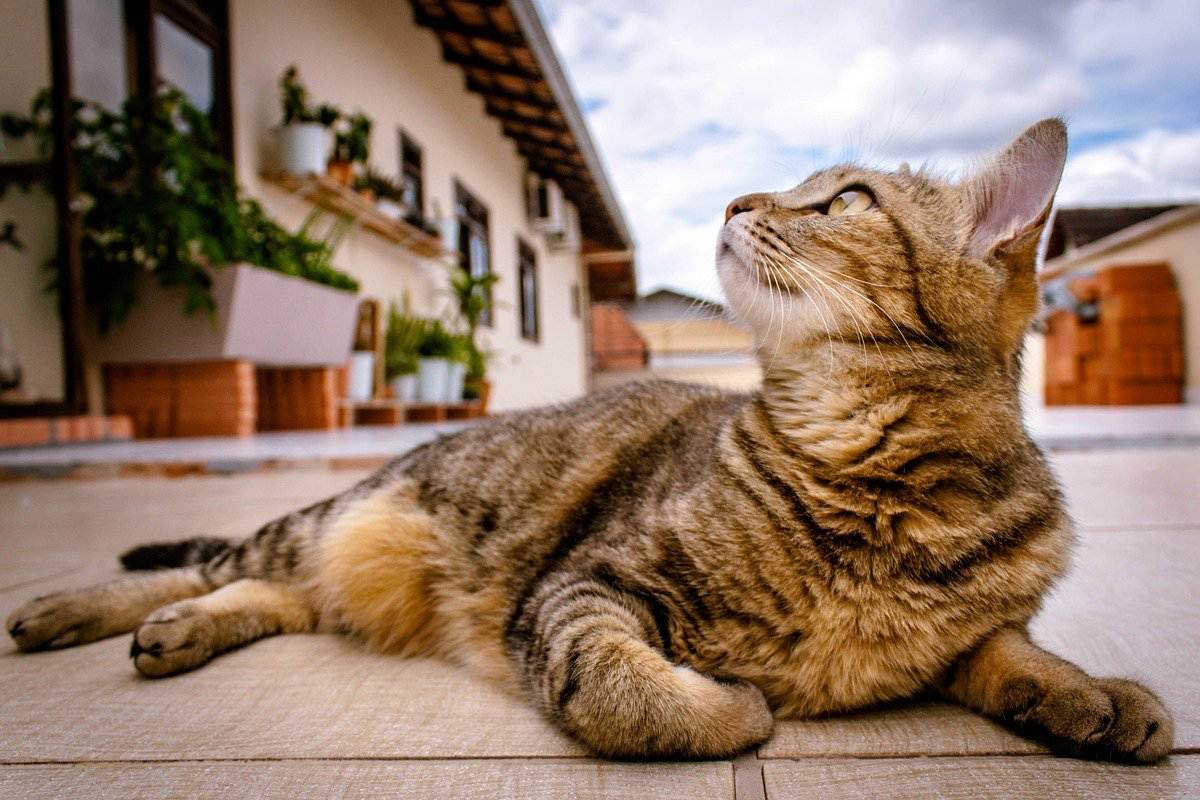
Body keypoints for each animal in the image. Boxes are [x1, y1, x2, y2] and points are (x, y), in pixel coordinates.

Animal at [7, 117, 1171, 762]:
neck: (874, 478)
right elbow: (617, 687)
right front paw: (733, 706)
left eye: (843, 199)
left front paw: (1097, 696)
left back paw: (179, 631)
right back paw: (74, 610)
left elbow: (1012, 649)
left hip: (340, 565)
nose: (737, 197)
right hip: (340, 516)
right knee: (211, 561)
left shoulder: (975, 636)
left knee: (273, 593)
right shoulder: (586, 583)